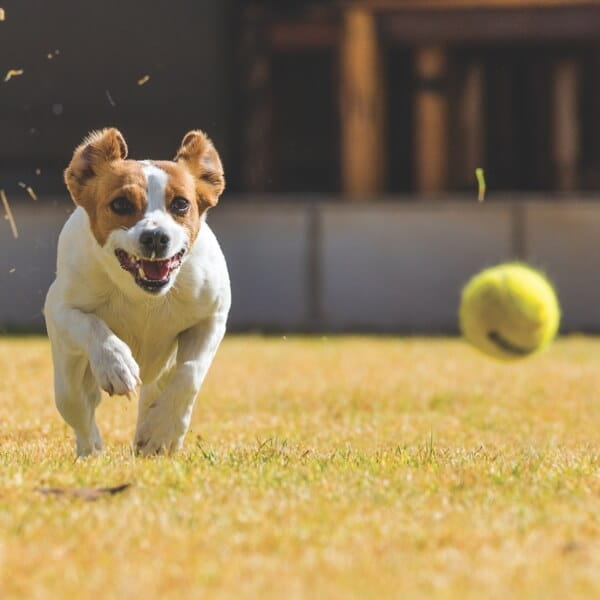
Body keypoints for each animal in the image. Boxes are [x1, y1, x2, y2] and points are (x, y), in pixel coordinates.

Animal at [43, 126, 231, 454]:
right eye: (121, 204)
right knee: (76, 405)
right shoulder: (60, 308)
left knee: (159, 387)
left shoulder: (213, 316)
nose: (155, 237)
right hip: (68, 372)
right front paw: (116, 364)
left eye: (181, 204)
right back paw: (92, 449)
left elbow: (190, 372)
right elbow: (91, 324)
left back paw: (150, 434)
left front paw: (162, 431)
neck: (144, 297)